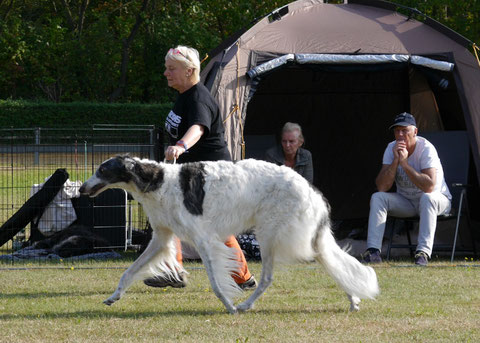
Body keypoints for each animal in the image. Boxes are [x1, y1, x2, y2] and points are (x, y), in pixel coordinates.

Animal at [79, 156, 378, 314]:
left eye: (102, 170)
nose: (81, 188)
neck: (158, 181)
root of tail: (311, 190)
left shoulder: (205, 240)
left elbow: (216, 282)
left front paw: (229, 305)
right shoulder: (161, 238)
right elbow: (128, 272)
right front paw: (114, 296)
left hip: (274, 236)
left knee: (269, 277)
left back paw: (244, 305)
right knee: (328, 263)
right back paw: (353, 299)